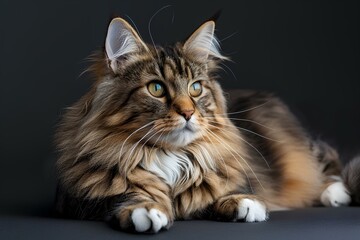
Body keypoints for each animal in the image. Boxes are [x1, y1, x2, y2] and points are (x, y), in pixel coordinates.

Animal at [54, 15, 360, 232]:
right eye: (156, 88)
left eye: (196, 88)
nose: (188, 113)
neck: (169, 156)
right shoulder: (78, 199)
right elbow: (128, 195)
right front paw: (148, 209)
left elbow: (222, 194)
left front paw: (244, 204)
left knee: (327, 161)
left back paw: (335, 192)